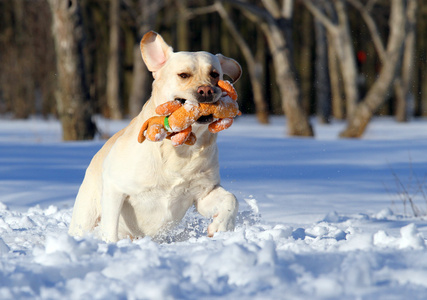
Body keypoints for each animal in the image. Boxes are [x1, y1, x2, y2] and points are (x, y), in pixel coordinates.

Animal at [67, 31, 241, 244]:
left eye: (215, 74)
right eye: (183, 75)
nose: (207, 90)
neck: (180, 146)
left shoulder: (203, 192)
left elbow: (231, 199)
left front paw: (221, 226)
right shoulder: (115, 189)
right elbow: (110, 230)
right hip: (85, 215)